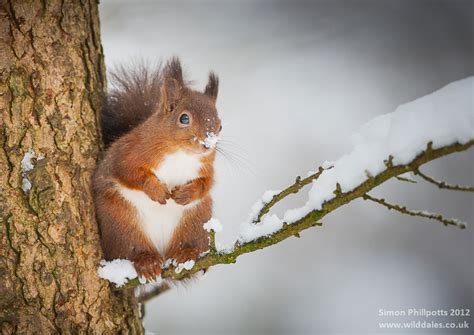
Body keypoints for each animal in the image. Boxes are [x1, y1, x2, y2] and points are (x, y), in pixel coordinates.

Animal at [93, 58, 222, 280]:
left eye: (220, 126)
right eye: (184, 118)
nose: (208, 144)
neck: (181, 154)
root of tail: (162, 252)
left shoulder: (206, 167)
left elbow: (206, 184)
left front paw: (187, 193)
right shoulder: (128, 153)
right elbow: (129, 173)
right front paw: (156, 189)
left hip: (196, 221)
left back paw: (187, 254)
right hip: (121, 222)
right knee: (132, 248)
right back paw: (146, 261)